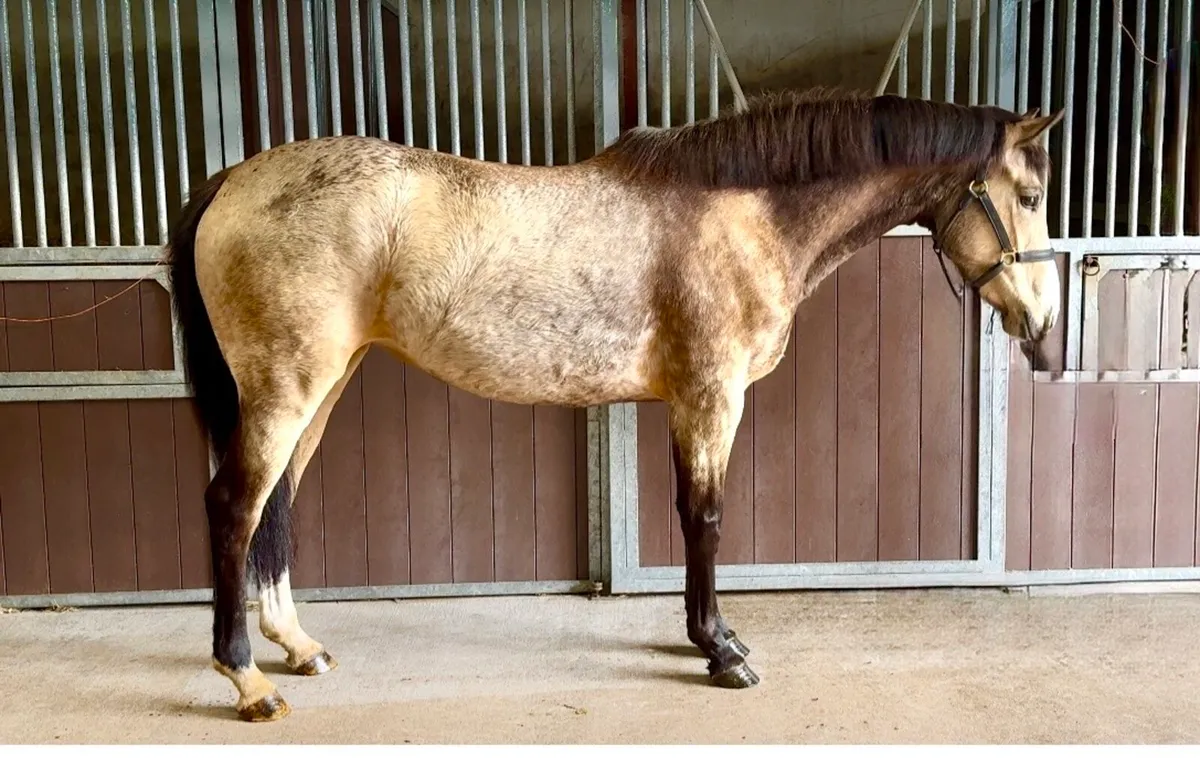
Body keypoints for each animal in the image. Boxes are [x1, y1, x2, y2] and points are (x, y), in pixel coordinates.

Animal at [165, 87, 1065, 722]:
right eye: (1028, 197)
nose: (1046, 333)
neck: (742, 215)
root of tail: (232, 179)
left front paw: (715, 638)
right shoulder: (710, 395)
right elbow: (705, 518)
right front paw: (721, 651)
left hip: (321, 385)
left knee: (276, 504)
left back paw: (297, 647)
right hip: (286, 387)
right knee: (233, 506)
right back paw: (246, 680)